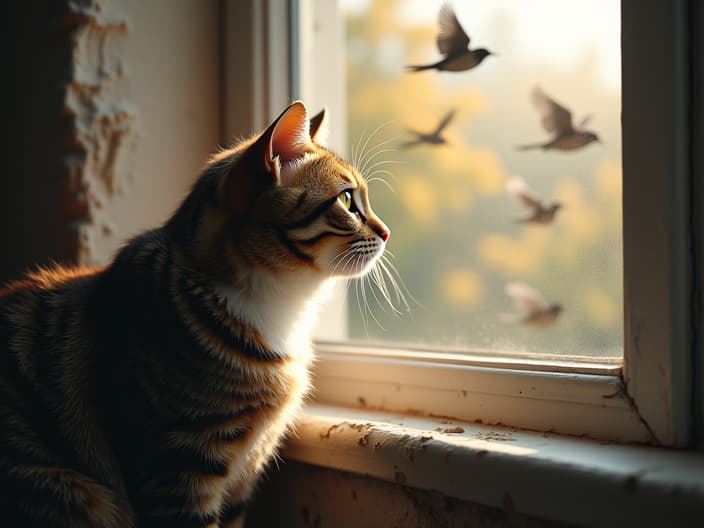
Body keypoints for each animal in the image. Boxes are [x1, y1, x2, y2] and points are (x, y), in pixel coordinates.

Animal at [0, 101, 390, 524]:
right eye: (348, 201)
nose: (386, 232)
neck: (278, 306)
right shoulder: (178, 467)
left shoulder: (243, 475)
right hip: (68, 487)